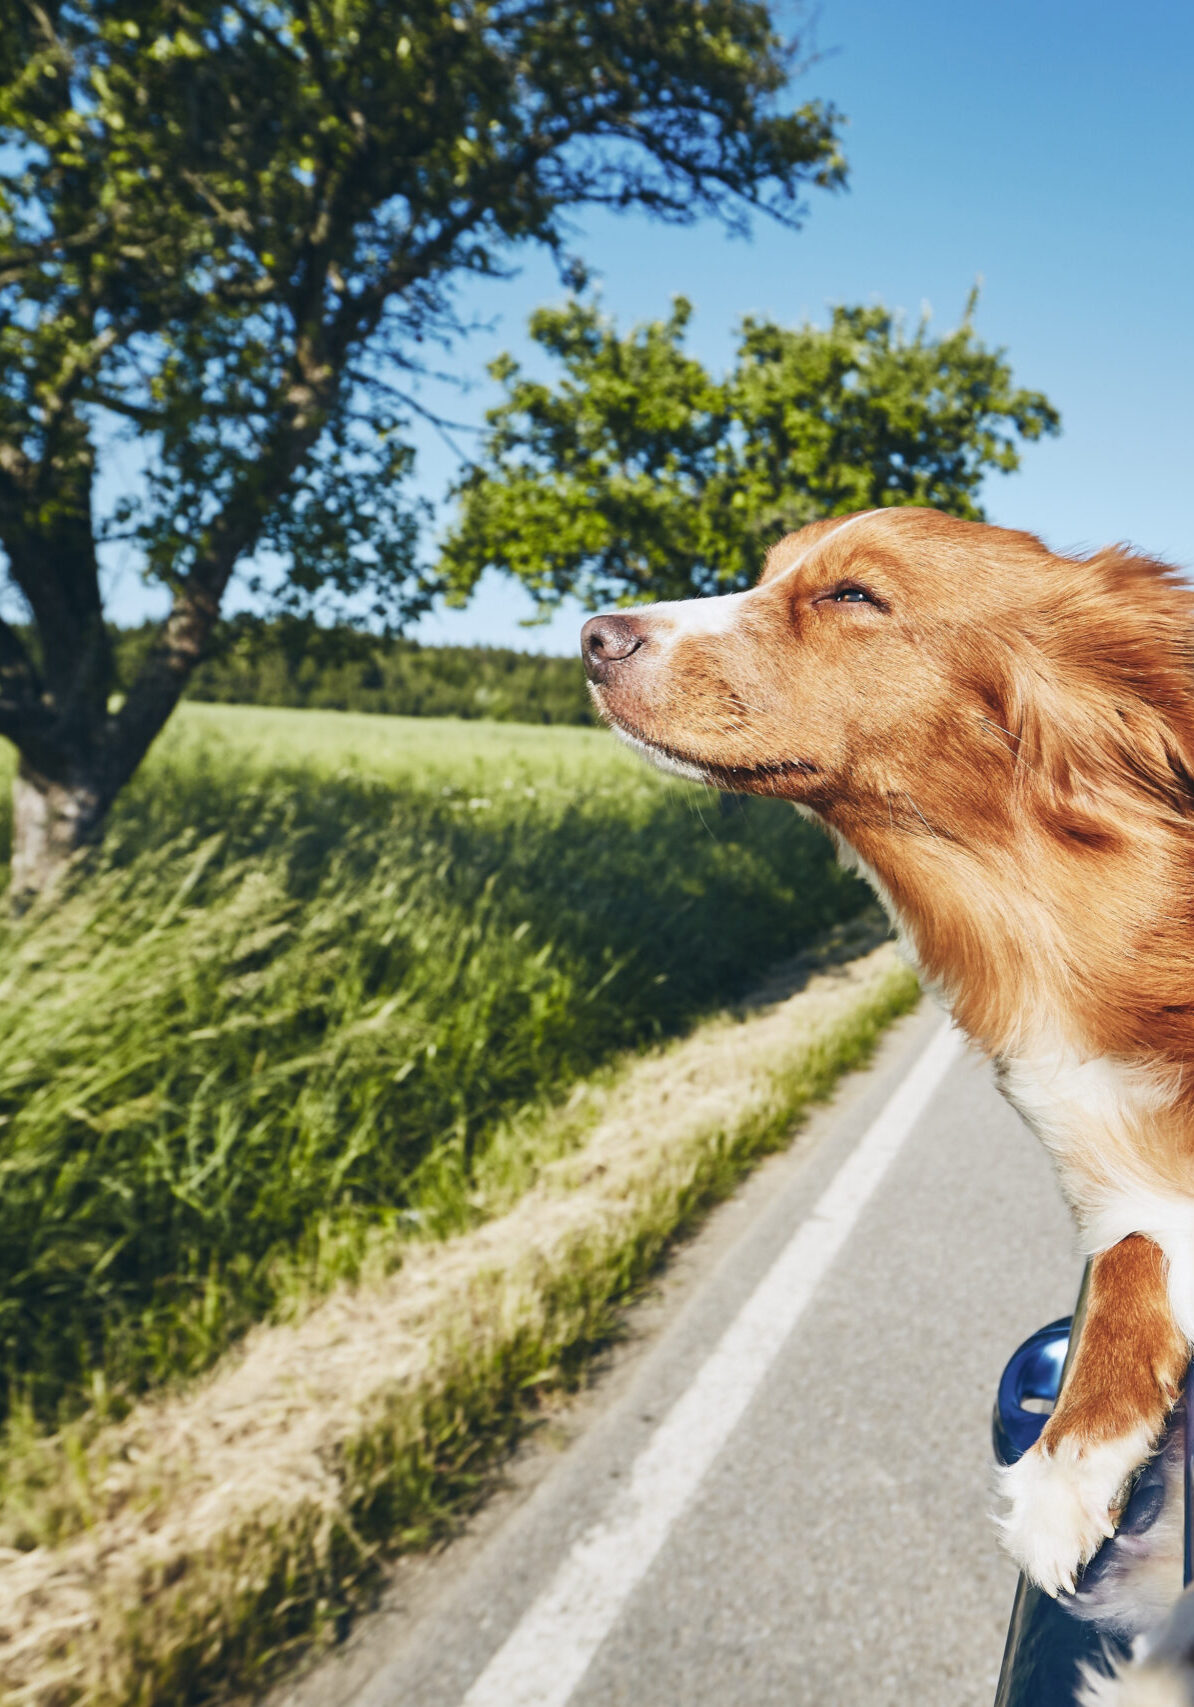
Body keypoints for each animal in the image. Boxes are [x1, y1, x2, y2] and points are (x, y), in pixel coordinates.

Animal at [580, 501, 1194, 1597]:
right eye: (772, 570)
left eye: (853, 595)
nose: (594, 637)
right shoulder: (1117, 1166)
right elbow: (1129, 1253)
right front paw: (1069, 1456)